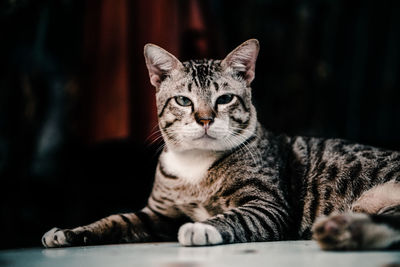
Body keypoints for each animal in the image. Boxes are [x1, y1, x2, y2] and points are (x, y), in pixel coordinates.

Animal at [41, 38, 400, 250]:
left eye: (225, 98)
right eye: (183, 100)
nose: (204, 118)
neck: (195, 166)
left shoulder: (267, 205)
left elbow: (237, 216)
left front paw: (202, 228)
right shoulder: (158, 214)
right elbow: (117, 220)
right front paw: (71, 231)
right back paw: (342, 230)